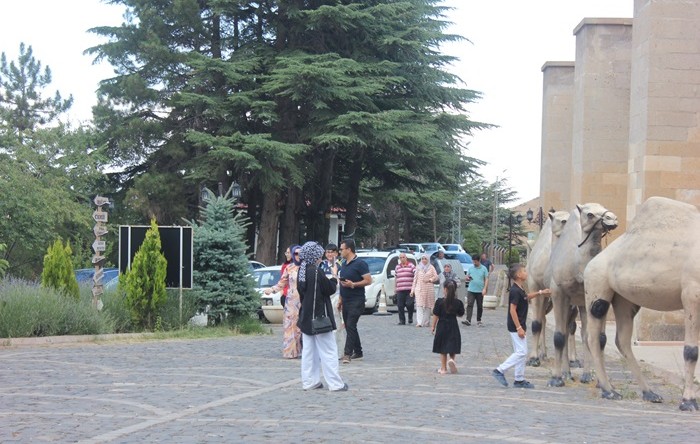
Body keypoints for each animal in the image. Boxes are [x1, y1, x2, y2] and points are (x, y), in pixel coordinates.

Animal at [524, 210, 576, 366]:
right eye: (562, 221)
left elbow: (571, 326)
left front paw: (573, 360)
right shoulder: (536, 288)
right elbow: (536, 323)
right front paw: (533, 358)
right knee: (541, 320)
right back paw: (541, 354)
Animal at [544, 203, 616, 386]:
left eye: (604, 207)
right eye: (589, 214)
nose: (612, 218)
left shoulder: (596, 298)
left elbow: (599, 338)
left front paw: (600, 380)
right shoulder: (559, 293)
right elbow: (558, 336)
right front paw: (556, 378)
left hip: (580, 305)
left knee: (582, 334)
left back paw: (584, 374)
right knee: (565, 331)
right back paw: (565, 373)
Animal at [584, 196, 700, 412]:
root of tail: (591, 263)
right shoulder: (692, 294)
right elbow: (691, 350)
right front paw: (688, 401)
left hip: (625, 300)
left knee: (621, 340)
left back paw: (650, 393)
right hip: (597, 289)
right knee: (594, 337)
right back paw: (609, 390)